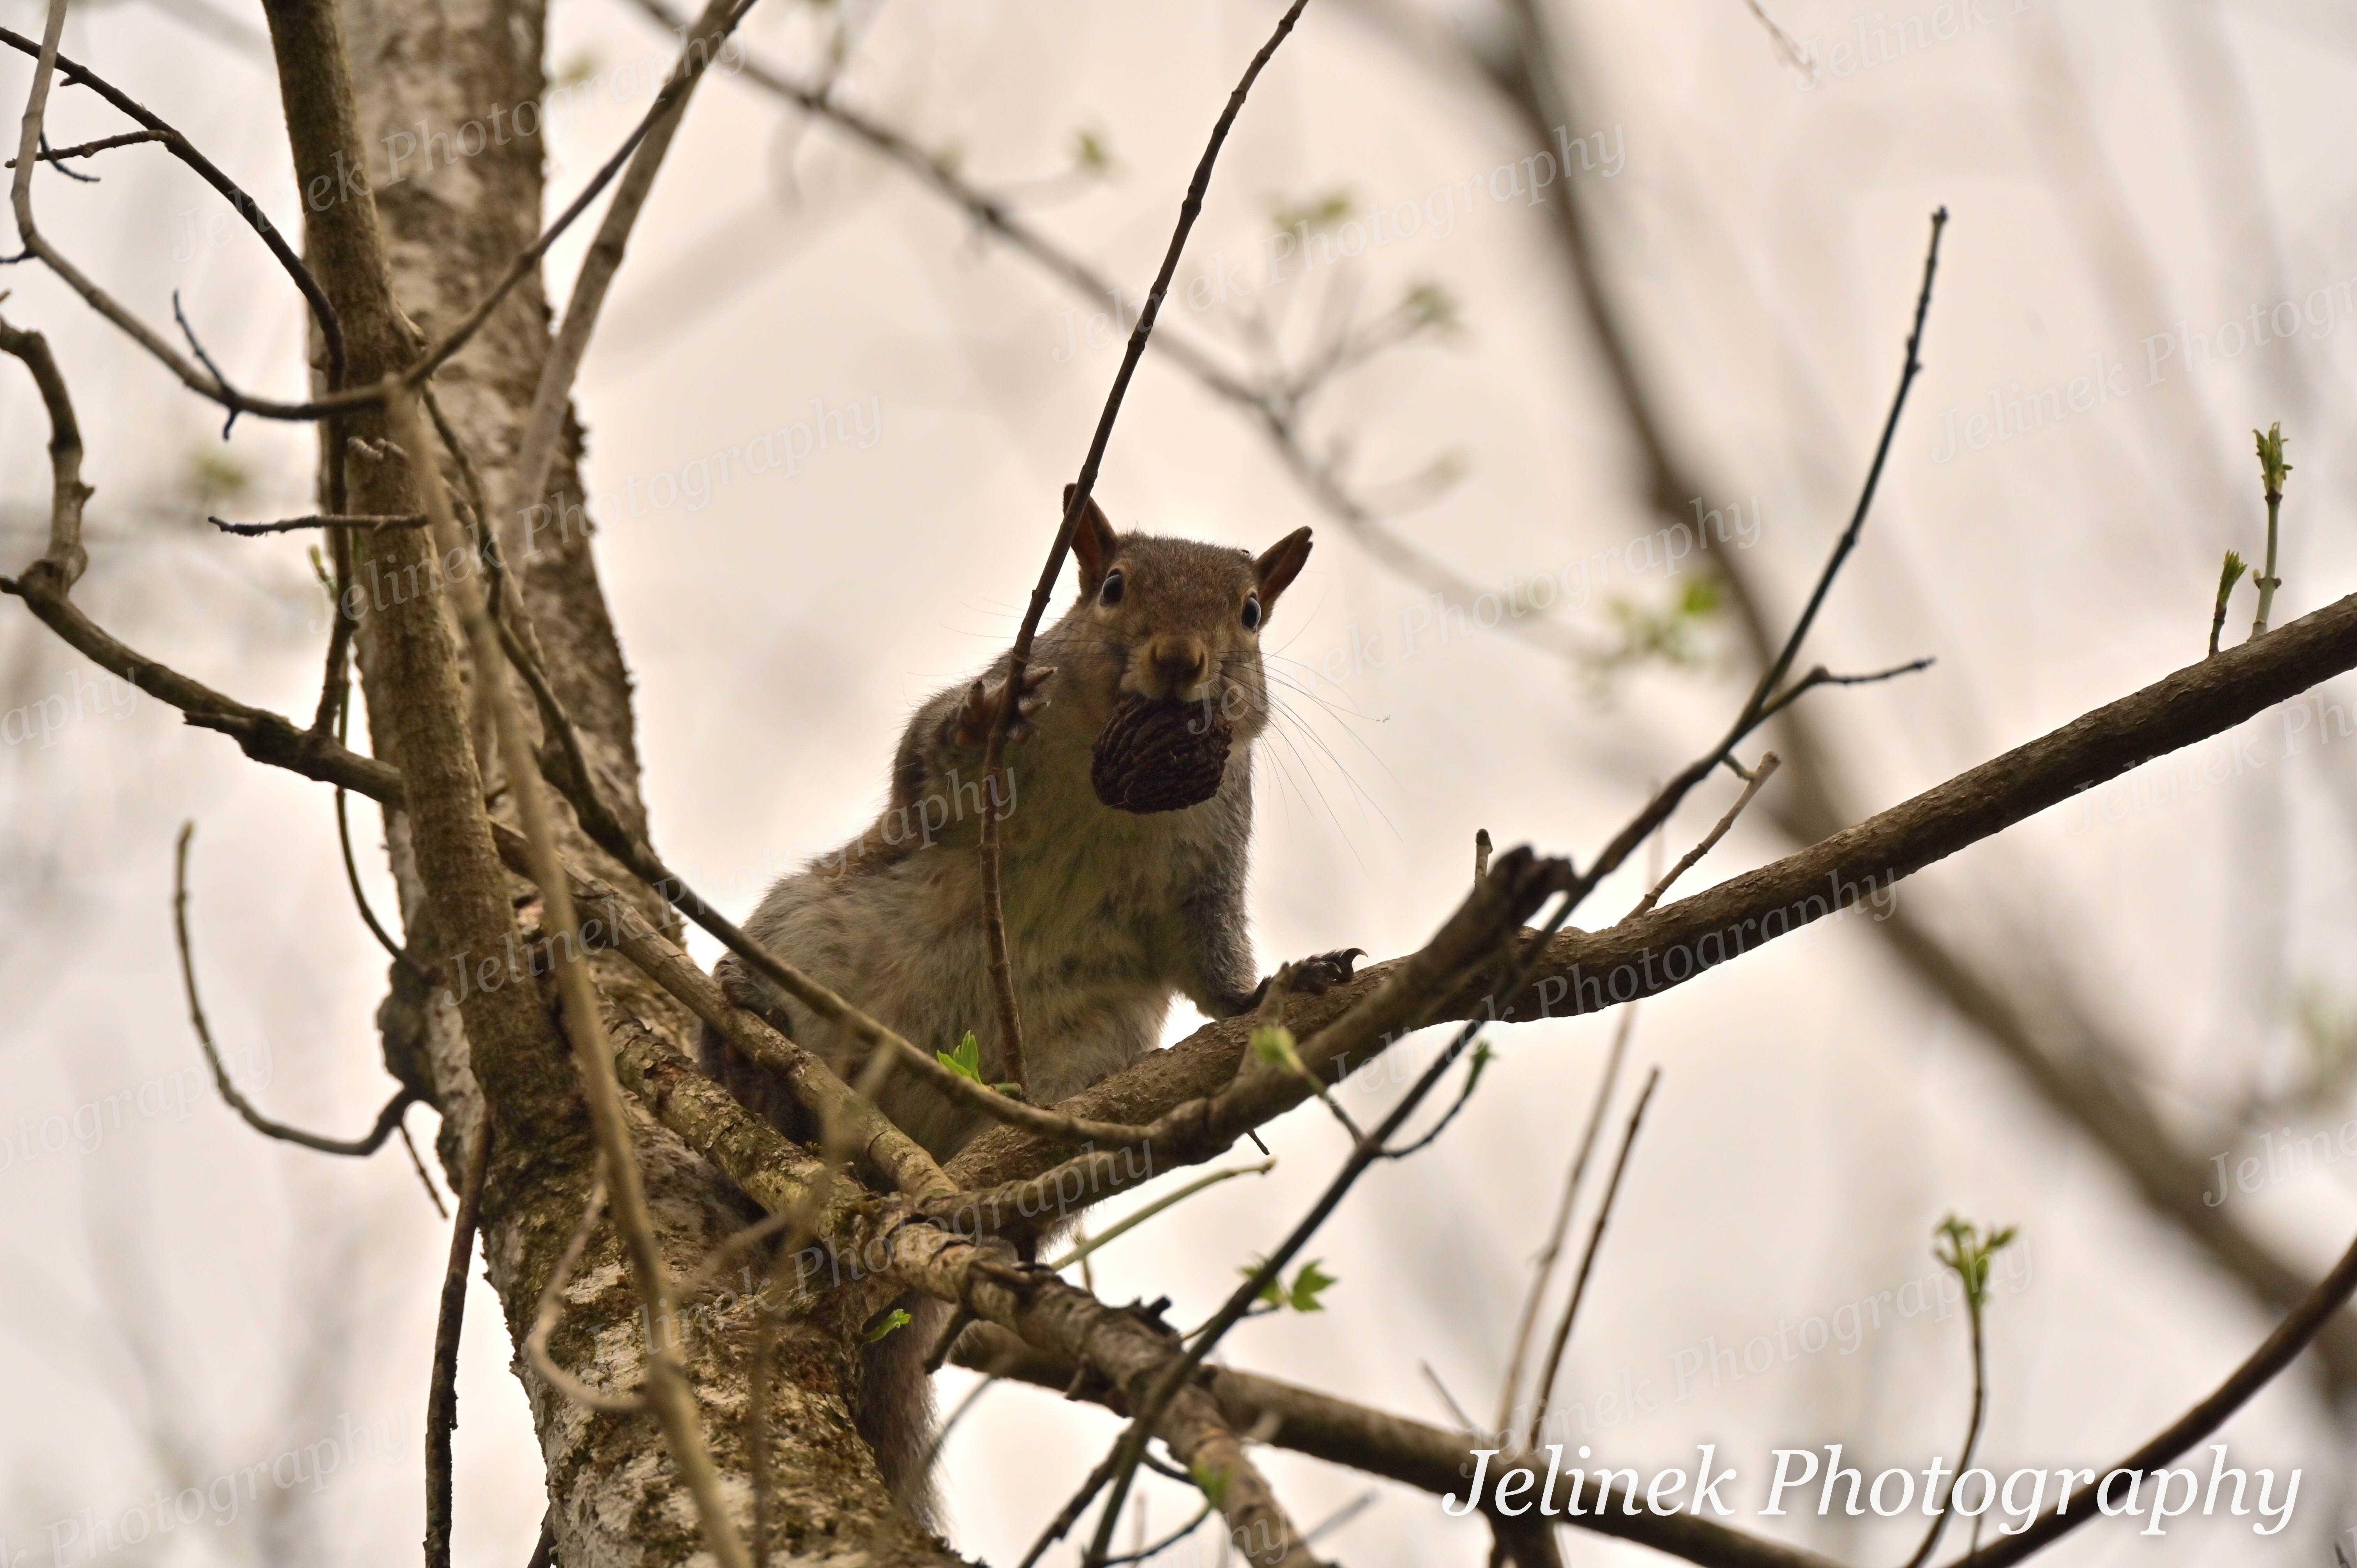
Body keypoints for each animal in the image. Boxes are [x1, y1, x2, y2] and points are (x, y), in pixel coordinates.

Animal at [701, 488, 1360, 1521]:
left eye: (1252, 613)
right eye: (1112, 587)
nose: (1182, 659)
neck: (1104, 756)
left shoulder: (1211, 859)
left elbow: (1213, 961)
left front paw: (1274, 987)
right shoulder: (945, 791)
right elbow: (928, 759)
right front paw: (988, 715)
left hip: (1087, 1056)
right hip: (809, 931)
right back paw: (751, 1062)